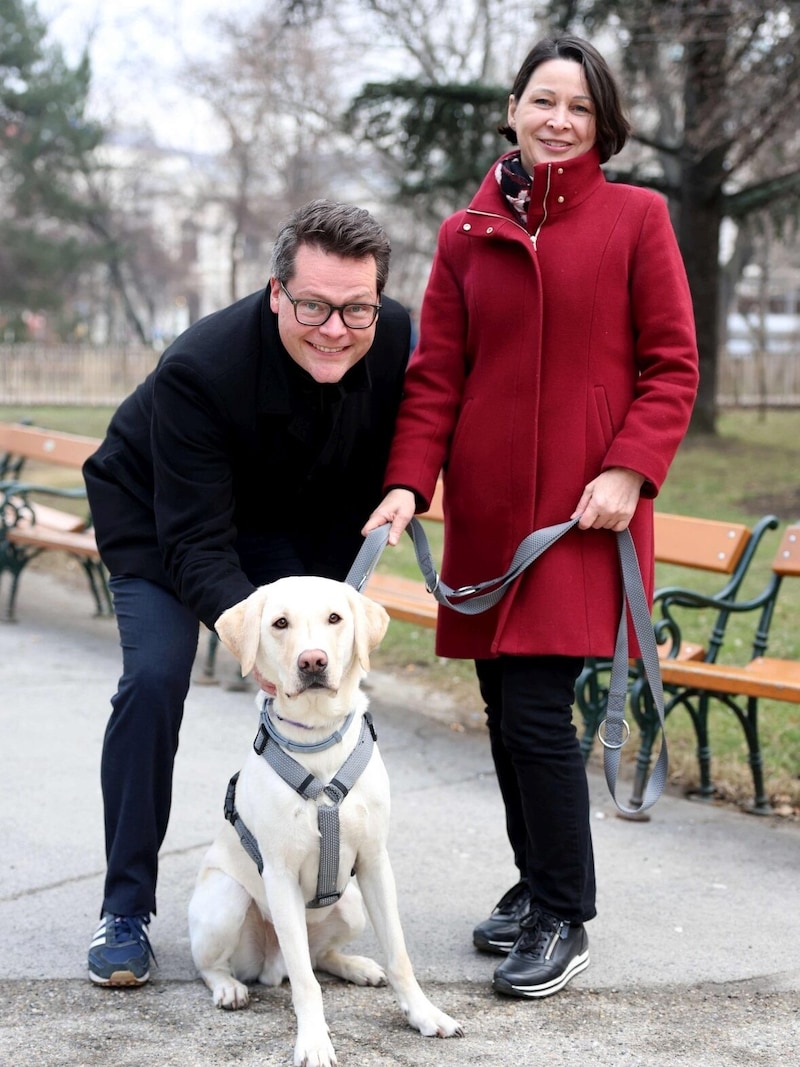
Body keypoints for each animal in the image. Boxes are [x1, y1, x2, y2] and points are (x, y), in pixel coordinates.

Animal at [189, 576, 462, 1067]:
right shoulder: (278, 876)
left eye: (335, 618)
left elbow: (399, 956)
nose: (313, 660)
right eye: (280, 623)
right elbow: (304, 983)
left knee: (321, 956)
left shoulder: (375, 863)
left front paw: (424, 1013)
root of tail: (268, 967)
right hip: (227, 898)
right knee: (221, 965)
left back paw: (357, 966)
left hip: (351, 904)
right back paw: (229, 988)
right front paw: (314, 1041)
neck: (318, 741)